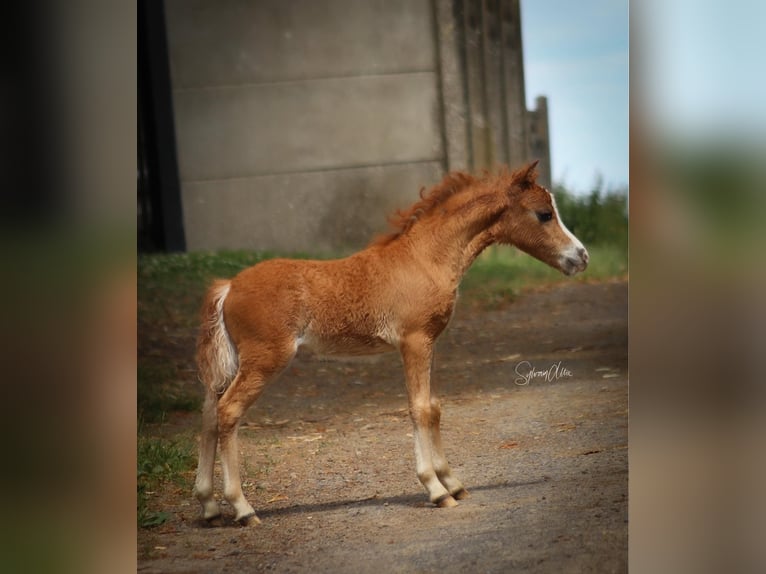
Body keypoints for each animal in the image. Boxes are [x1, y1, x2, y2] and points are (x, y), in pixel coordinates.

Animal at [195, 161, 592, 528]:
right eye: (544, 214)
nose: (582, 256)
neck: (425, 258)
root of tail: (229, 286)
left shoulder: (428, 343)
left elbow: (434, 406)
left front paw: (453, 483)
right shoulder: (414, 342)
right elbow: (419, 408)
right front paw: (436, 489)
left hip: (235, 362)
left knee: (210, 412)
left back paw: (210, 507)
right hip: (267, 357)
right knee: (228, 411)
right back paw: (243, 509)